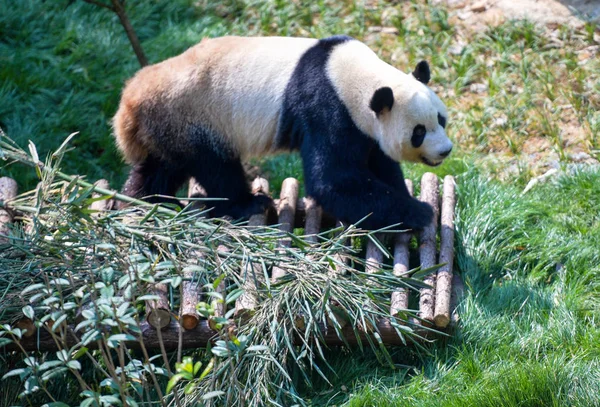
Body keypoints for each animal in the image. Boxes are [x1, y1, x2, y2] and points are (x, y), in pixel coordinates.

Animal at [112, 35, 452, 231]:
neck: (355, 76)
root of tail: (129, 102)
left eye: (441, 119)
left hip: (168, 126)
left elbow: (378, 162)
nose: (445, 150)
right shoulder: (326, 107)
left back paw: (143, 201)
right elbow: (333, 181)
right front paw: (420, 212)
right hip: (194, 116)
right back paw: (249, 203)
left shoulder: (363, 125)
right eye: (419, 132)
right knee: (216, 167)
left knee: (161, 167)